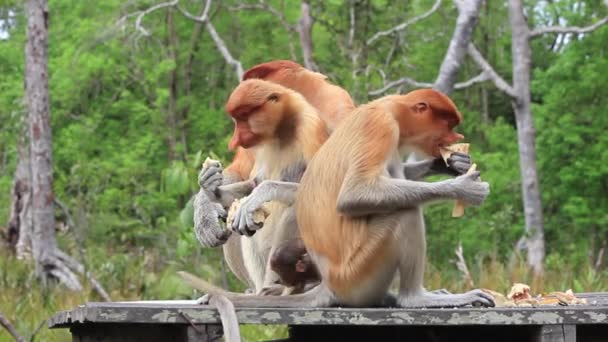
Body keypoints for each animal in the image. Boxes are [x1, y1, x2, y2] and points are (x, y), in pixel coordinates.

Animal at [180, 89, 494, 308]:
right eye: (448, 123)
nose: (455, 137)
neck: (391, 108)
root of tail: (329, 284)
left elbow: (399, 175)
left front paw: (451, 164)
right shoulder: (381, 126)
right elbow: (354, 194)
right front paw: (463, 186)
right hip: (359, 274)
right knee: (403, 211)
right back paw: (416, 298)